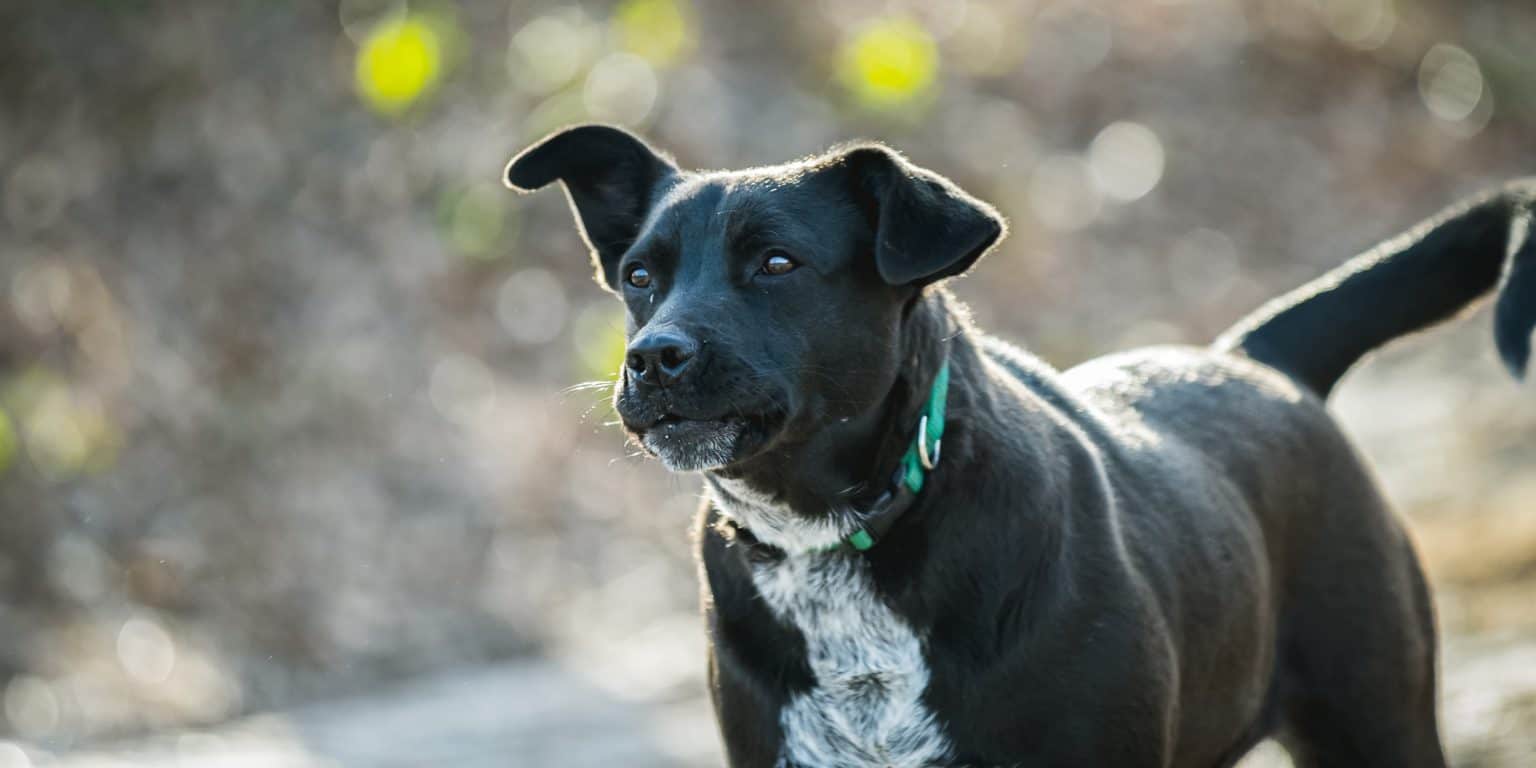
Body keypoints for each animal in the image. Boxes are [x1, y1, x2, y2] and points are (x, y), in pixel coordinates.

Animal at [506, 122, 1536, 764]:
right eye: (640, 277)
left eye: (777, 263)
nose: (652, 357)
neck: (835, 539)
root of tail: (1255, 358)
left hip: (1378, 718)